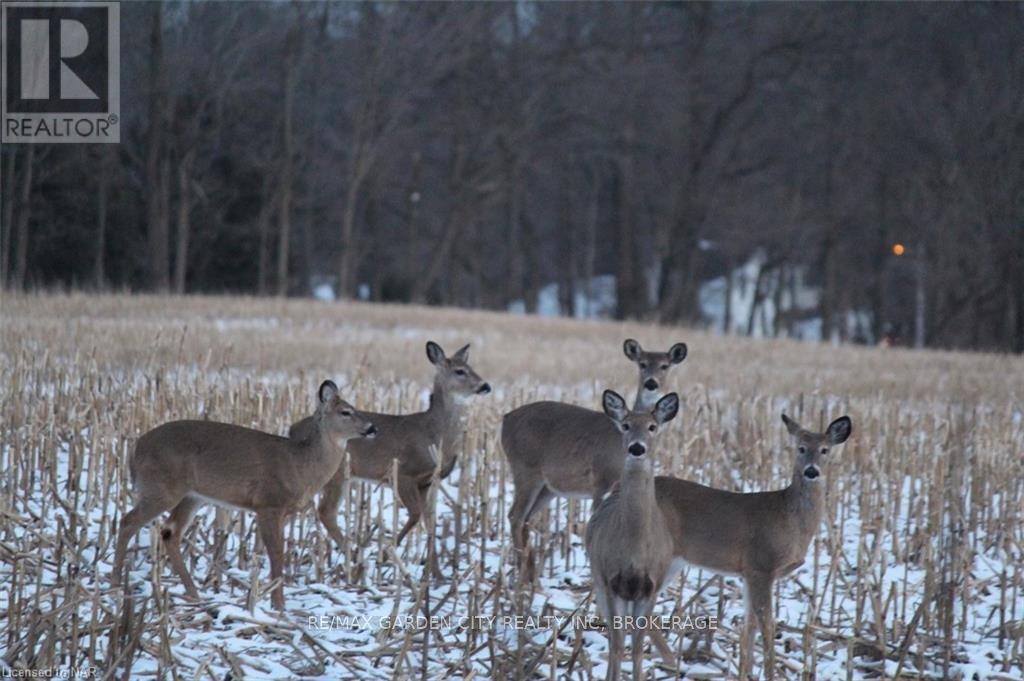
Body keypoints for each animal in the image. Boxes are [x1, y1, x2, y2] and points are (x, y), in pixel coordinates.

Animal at [109, 378, 380, 606]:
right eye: (345, 411)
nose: (372, 428)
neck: (300, 464)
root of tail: (135, 448)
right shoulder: (268, 504)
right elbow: (277, 553)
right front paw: (279, 607)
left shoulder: (284, 512)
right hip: (161, 488)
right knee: (128, 521)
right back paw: (115, 584)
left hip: (192, 495)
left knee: (169, 531)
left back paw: (194, 595)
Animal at [288, 337, 491, 569]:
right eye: (460, 371)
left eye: (471, 367)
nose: (485, 386)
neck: (435, 433)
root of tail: (292, 429)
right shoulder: (404, 473)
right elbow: (415, 515)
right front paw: (385, 554)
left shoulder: (429, 481)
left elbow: (429, 521)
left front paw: (433, 569)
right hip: (335, 473)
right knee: (325, 512)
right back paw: (353, 556)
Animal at [499, 337, 684, 581]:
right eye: (642, 364)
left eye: (665, 365)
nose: (651, 383)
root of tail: (506, 419)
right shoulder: (600, 480)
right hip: (525, 469)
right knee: (516, 516)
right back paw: (525, 577)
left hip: (548, 487)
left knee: (526, 519)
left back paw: (530, 573)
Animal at [585, 387, 679, 679]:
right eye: (626, 425)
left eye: (652, 426)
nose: (637, 447)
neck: (635, 551)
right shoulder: (610, 580)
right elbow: (617, 647)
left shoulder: (650, 587)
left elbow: (637, 650)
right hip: (600, 581)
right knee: (614, 640)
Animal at [651, 411, 851, 675]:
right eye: (800, 447)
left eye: (825, 450)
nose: (811, 471)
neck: (790, 520)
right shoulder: (761, 565)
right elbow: (767, 626)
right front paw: (770, 672)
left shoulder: (749, 572)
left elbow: (749, 628)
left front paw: (746, 673)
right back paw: (671, 662)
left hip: (673, 560)